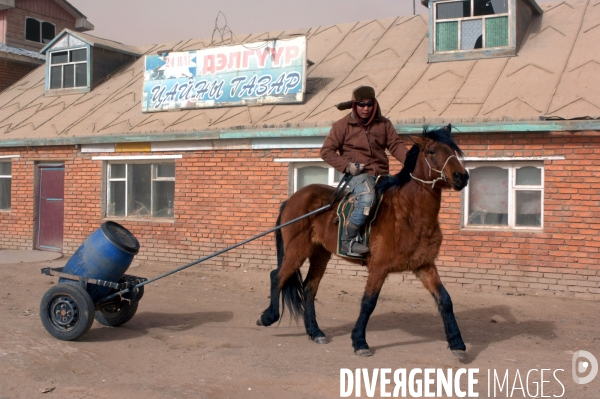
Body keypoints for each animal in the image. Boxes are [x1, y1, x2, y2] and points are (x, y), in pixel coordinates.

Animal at [256, 123, 468, 358]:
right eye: (432, 151)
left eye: (453, 150)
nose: (462, 177)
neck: (409, 214)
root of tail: (293, 198)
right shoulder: (379, 267)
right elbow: (368, 303)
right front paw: (359, 341)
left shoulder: (425, 266)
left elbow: (445, 300)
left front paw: (457, 343)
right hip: (297, 250)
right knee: (277, 277)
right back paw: (268, 317)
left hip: (320, 254)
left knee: (309, 288)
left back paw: (315, 331)